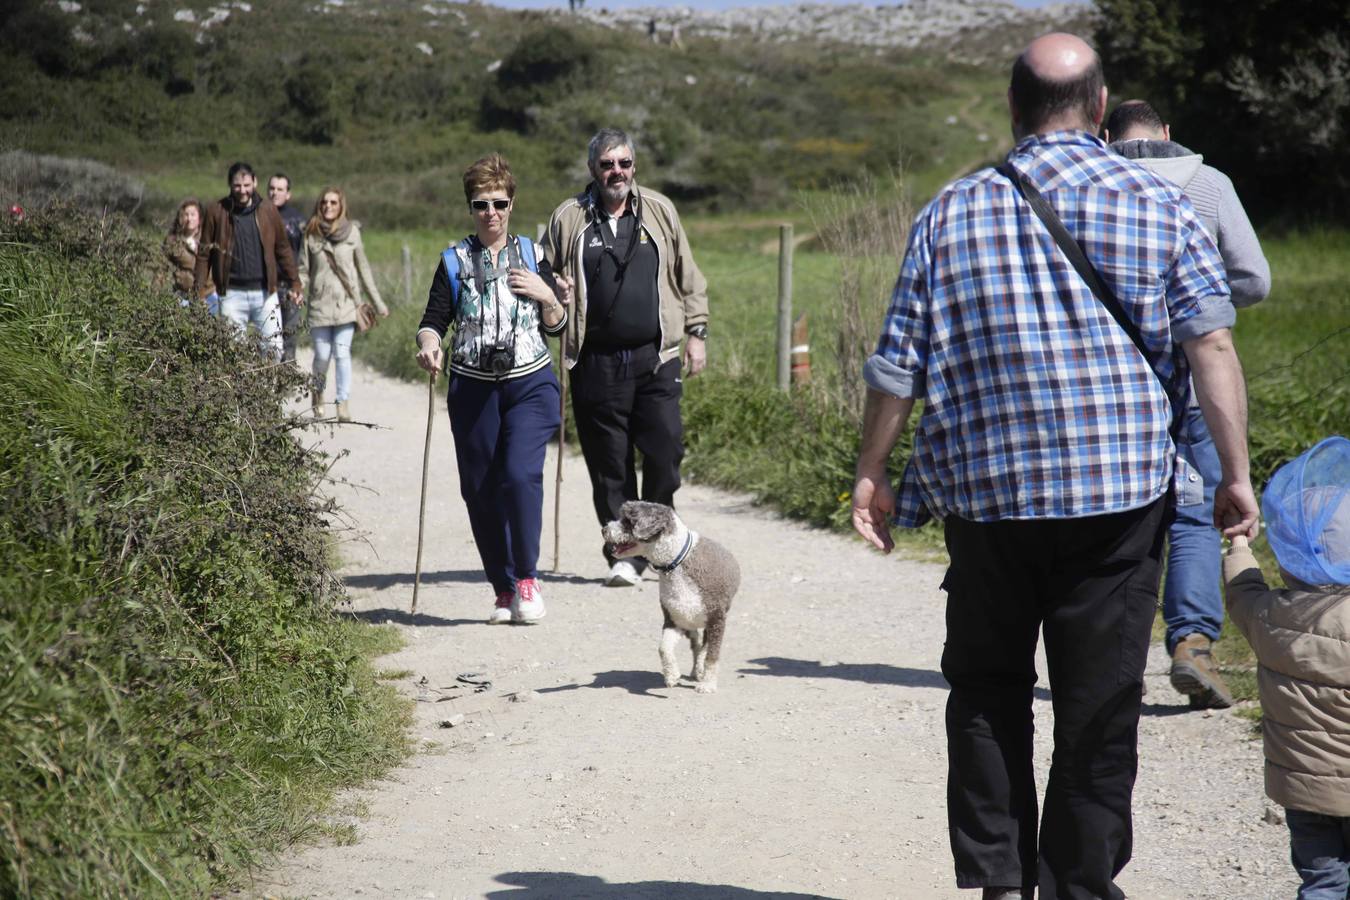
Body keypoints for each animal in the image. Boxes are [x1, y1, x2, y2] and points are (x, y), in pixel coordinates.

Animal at [604, 504, 745, 696]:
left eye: (628, 521)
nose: (604, 530)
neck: (676, 563)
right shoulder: (674, 619)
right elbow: (663, 647)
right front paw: (672, 676)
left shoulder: (717, 620)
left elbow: (711, 656)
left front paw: (707, 684)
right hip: (691, 623)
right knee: (696, 645)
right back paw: (695, 671)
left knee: (703, 648)